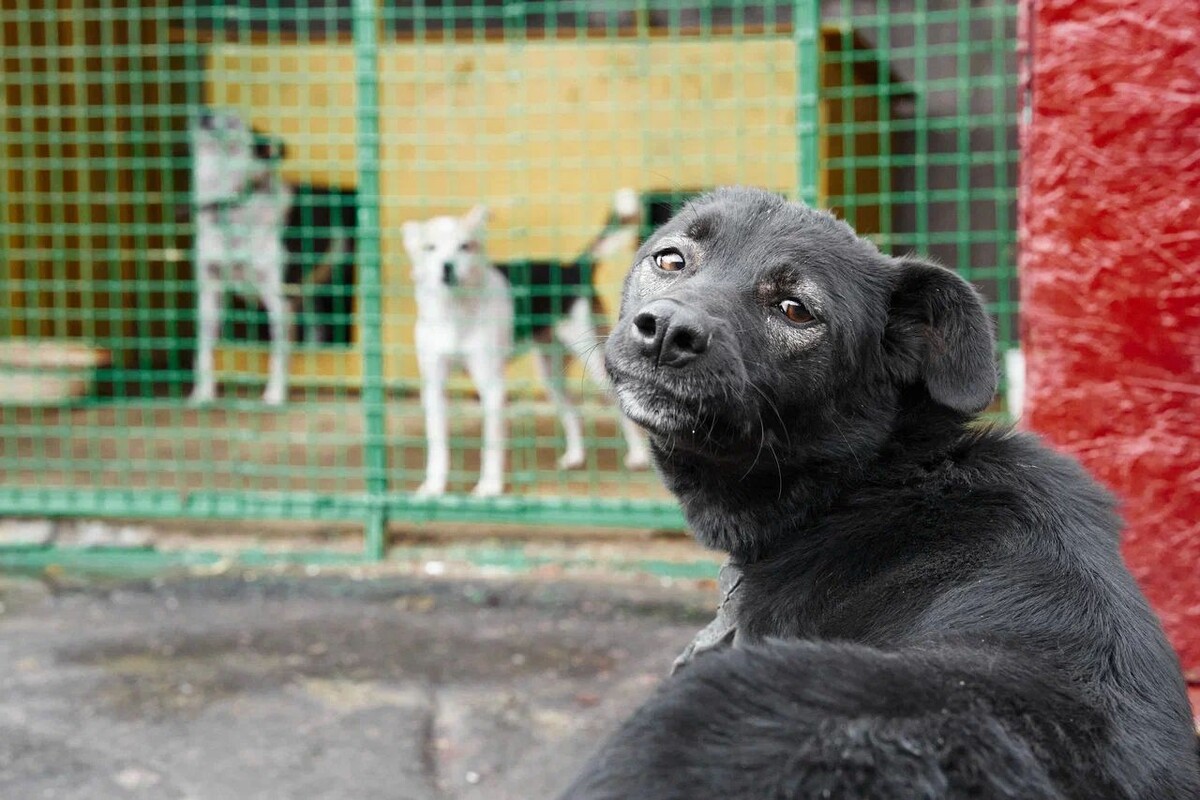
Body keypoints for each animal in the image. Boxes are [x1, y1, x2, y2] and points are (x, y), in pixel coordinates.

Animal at [403, 191, 652, 496]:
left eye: (465, 246)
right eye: (430, 248)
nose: (447, 268)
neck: (453, 313)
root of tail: (573, 269)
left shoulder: (492, 389)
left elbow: (492, 446)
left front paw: (490, 486)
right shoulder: (434, 389)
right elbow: (437, 447)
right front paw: (434, 487)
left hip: (595, 364)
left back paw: (638, 456)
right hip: (549, 374)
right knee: (573, 413)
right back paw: (575, 457)